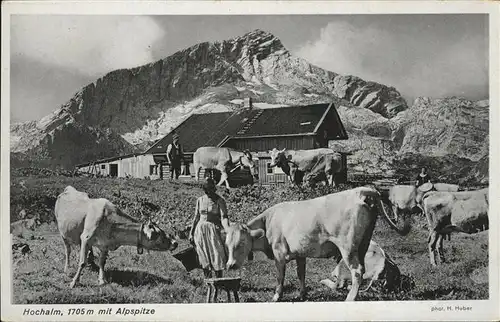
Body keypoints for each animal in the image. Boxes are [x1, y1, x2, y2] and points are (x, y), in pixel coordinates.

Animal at [225, 186, 408, 302]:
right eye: (227, 244)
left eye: (241, 243)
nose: (230, 265)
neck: (268, 222)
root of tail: (361, 191)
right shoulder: (300, 254)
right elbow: (301, 274)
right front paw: (302, 294)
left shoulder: (279, 254)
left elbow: (280, 276)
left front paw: (277, 296)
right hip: (363, 244)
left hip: (348, 248)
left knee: (357, 272)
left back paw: (350, 298)